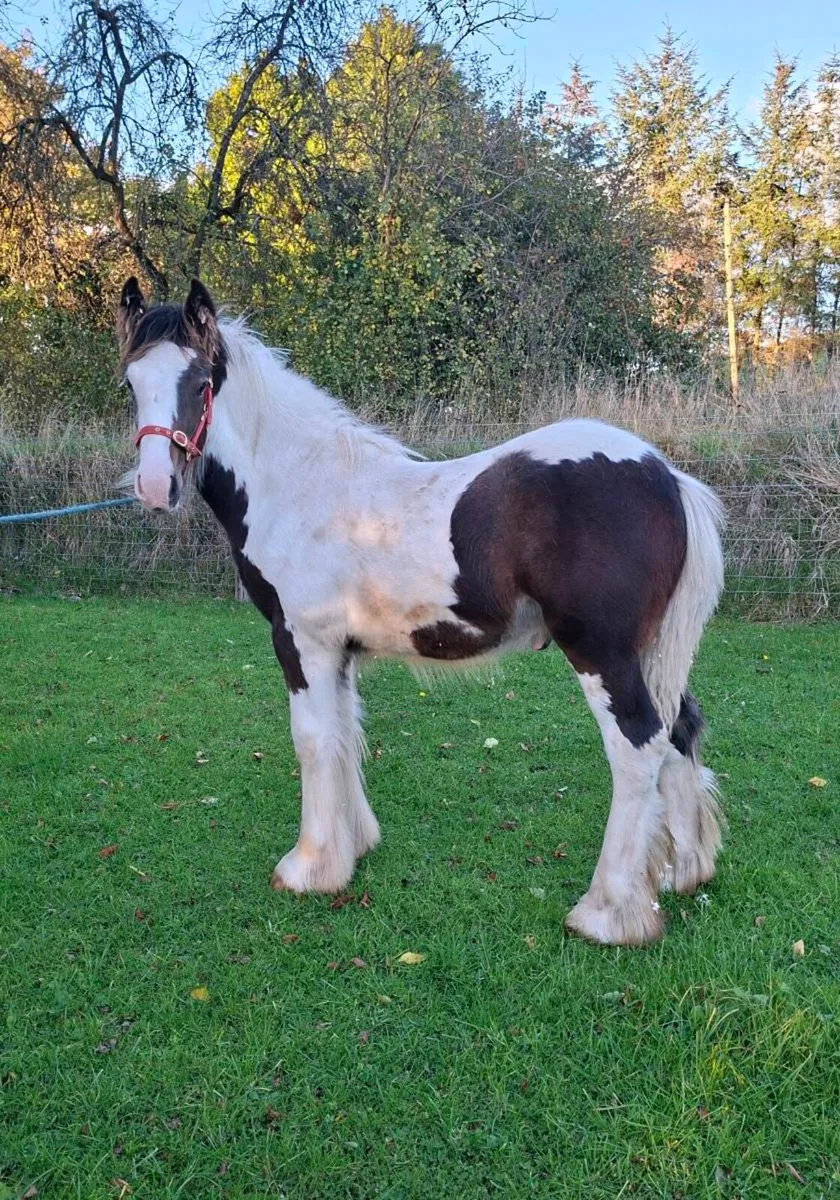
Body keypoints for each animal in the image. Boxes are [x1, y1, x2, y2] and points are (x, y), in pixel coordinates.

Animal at [116, 276, 725, 946]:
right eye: (130, 384)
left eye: (200, 382)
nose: (155, 487)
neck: (299, 486)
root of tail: (667, 476)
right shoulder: (339, 650)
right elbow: (344, 731)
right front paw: (353, 847)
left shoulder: (301, 641)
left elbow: (312, 739)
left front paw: (309, 867)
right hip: (652, 653)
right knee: (679, 729)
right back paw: (683, 873)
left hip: (601, 653)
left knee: (637, 747)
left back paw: (607, 912)